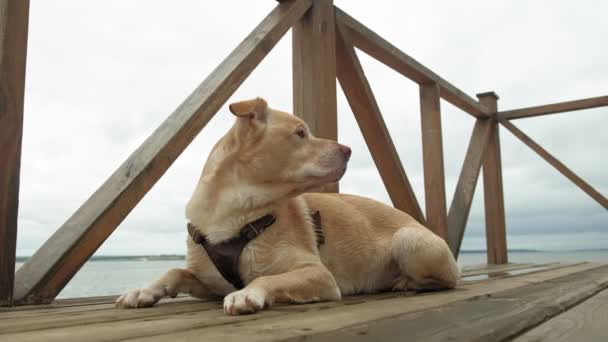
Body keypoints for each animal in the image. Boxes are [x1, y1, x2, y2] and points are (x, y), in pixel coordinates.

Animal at [114, 97, 458, 316]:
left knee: (446, 281)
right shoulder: (209, 280)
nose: (348, 150)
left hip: (410, 240)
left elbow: (267, 278)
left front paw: (247, 293)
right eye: (300, 133)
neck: (235, 213)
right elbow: (175, 270)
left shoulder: (318, 274)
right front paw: (144, 290)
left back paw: (406, 282)